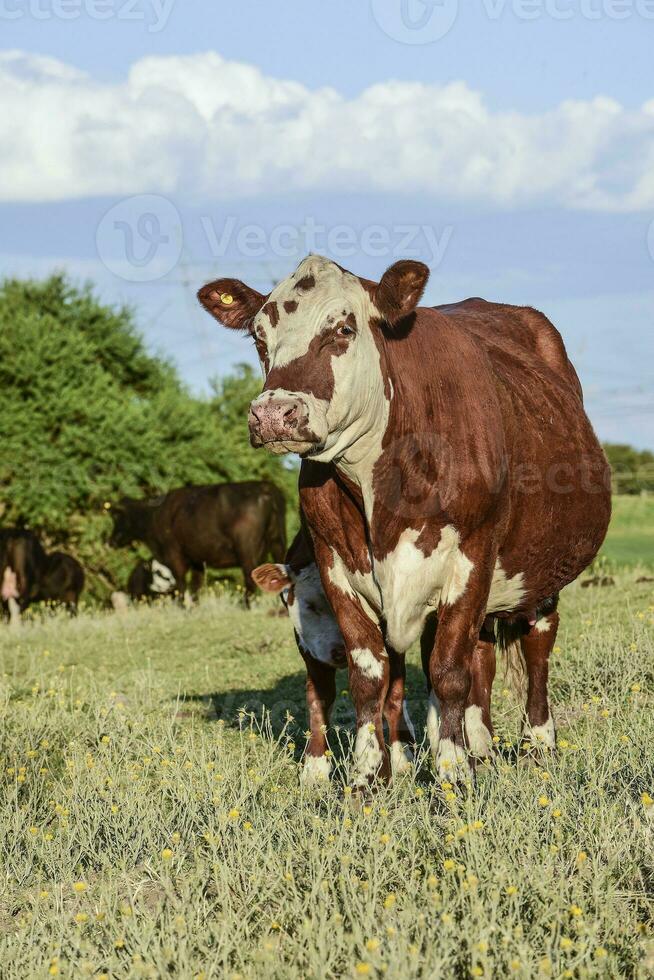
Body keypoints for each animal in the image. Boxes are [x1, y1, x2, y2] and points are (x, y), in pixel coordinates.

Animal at [201, 255, 616, 788]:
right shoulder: (334, 562)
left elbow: (449, 671)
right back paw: (481, 745)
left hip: (542, 568)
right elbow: (370, 673)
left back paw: (537, 743)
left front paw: (453, 773)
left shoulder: (472, 555)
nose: (273, 414)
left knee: (537, 642)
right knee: (482, 656)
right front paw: (367, 776)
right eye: (258, 338)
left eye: (343, 329)